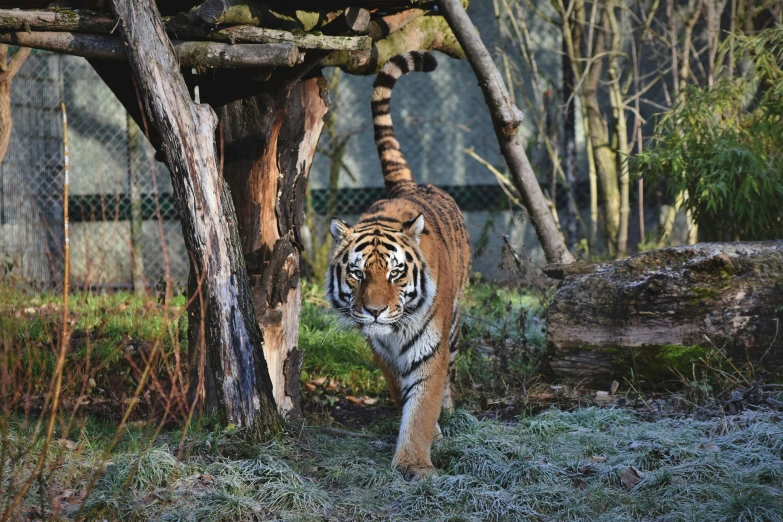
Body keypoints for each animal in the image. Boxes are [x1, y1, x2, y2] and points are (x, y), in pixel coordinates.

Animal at [326, 52, 468, 480]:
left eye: (395, 272)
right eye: (357, 273)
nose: (374, 312)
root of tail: (409, 185)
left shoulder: (430, 348)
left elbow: (422, 404)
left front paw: (415, 463)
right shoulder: (381, 351)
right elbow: (403, 393)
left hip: (455, 324)